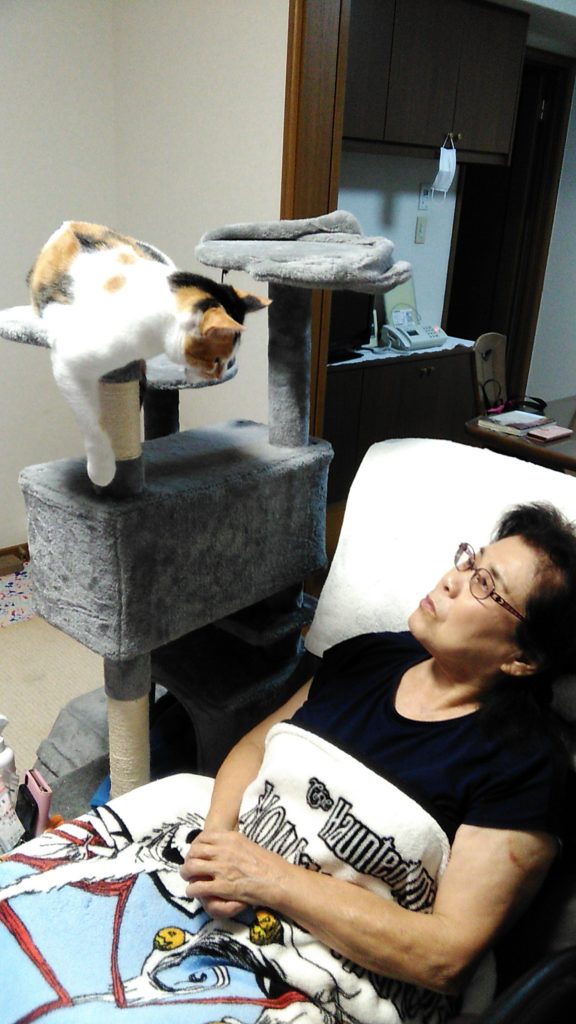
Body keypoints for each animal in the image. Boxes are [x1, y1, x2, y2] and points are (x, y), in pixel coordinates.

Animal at [27, 220, 270, 486]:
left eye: (228, 361)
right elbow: (91, 420)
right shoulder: (69, 364)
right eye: (217, 360)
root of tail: (69, 224)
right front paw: (103, 472)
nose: (219, 375)